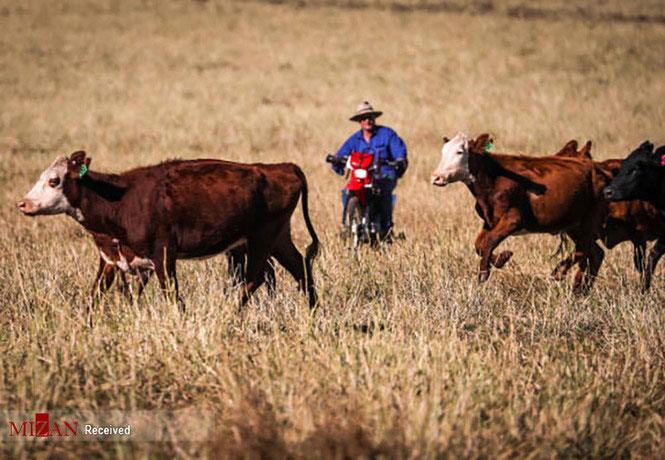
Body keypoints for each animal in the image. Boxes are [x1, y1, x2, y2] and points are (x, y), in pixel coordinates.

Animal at [18, 152, 320, 310]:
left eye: (54, 181)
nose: (24, 203)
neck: (119, 199)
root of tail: (283, 168)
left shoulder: (163, 254)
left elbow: (172, 295)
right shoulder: (111, 260)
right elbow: (96, 294)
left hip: (262, 238)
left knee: (255, 278)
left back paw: (229, 314)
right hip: (278, 238)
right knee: (301, 270)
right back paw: (314, 312)